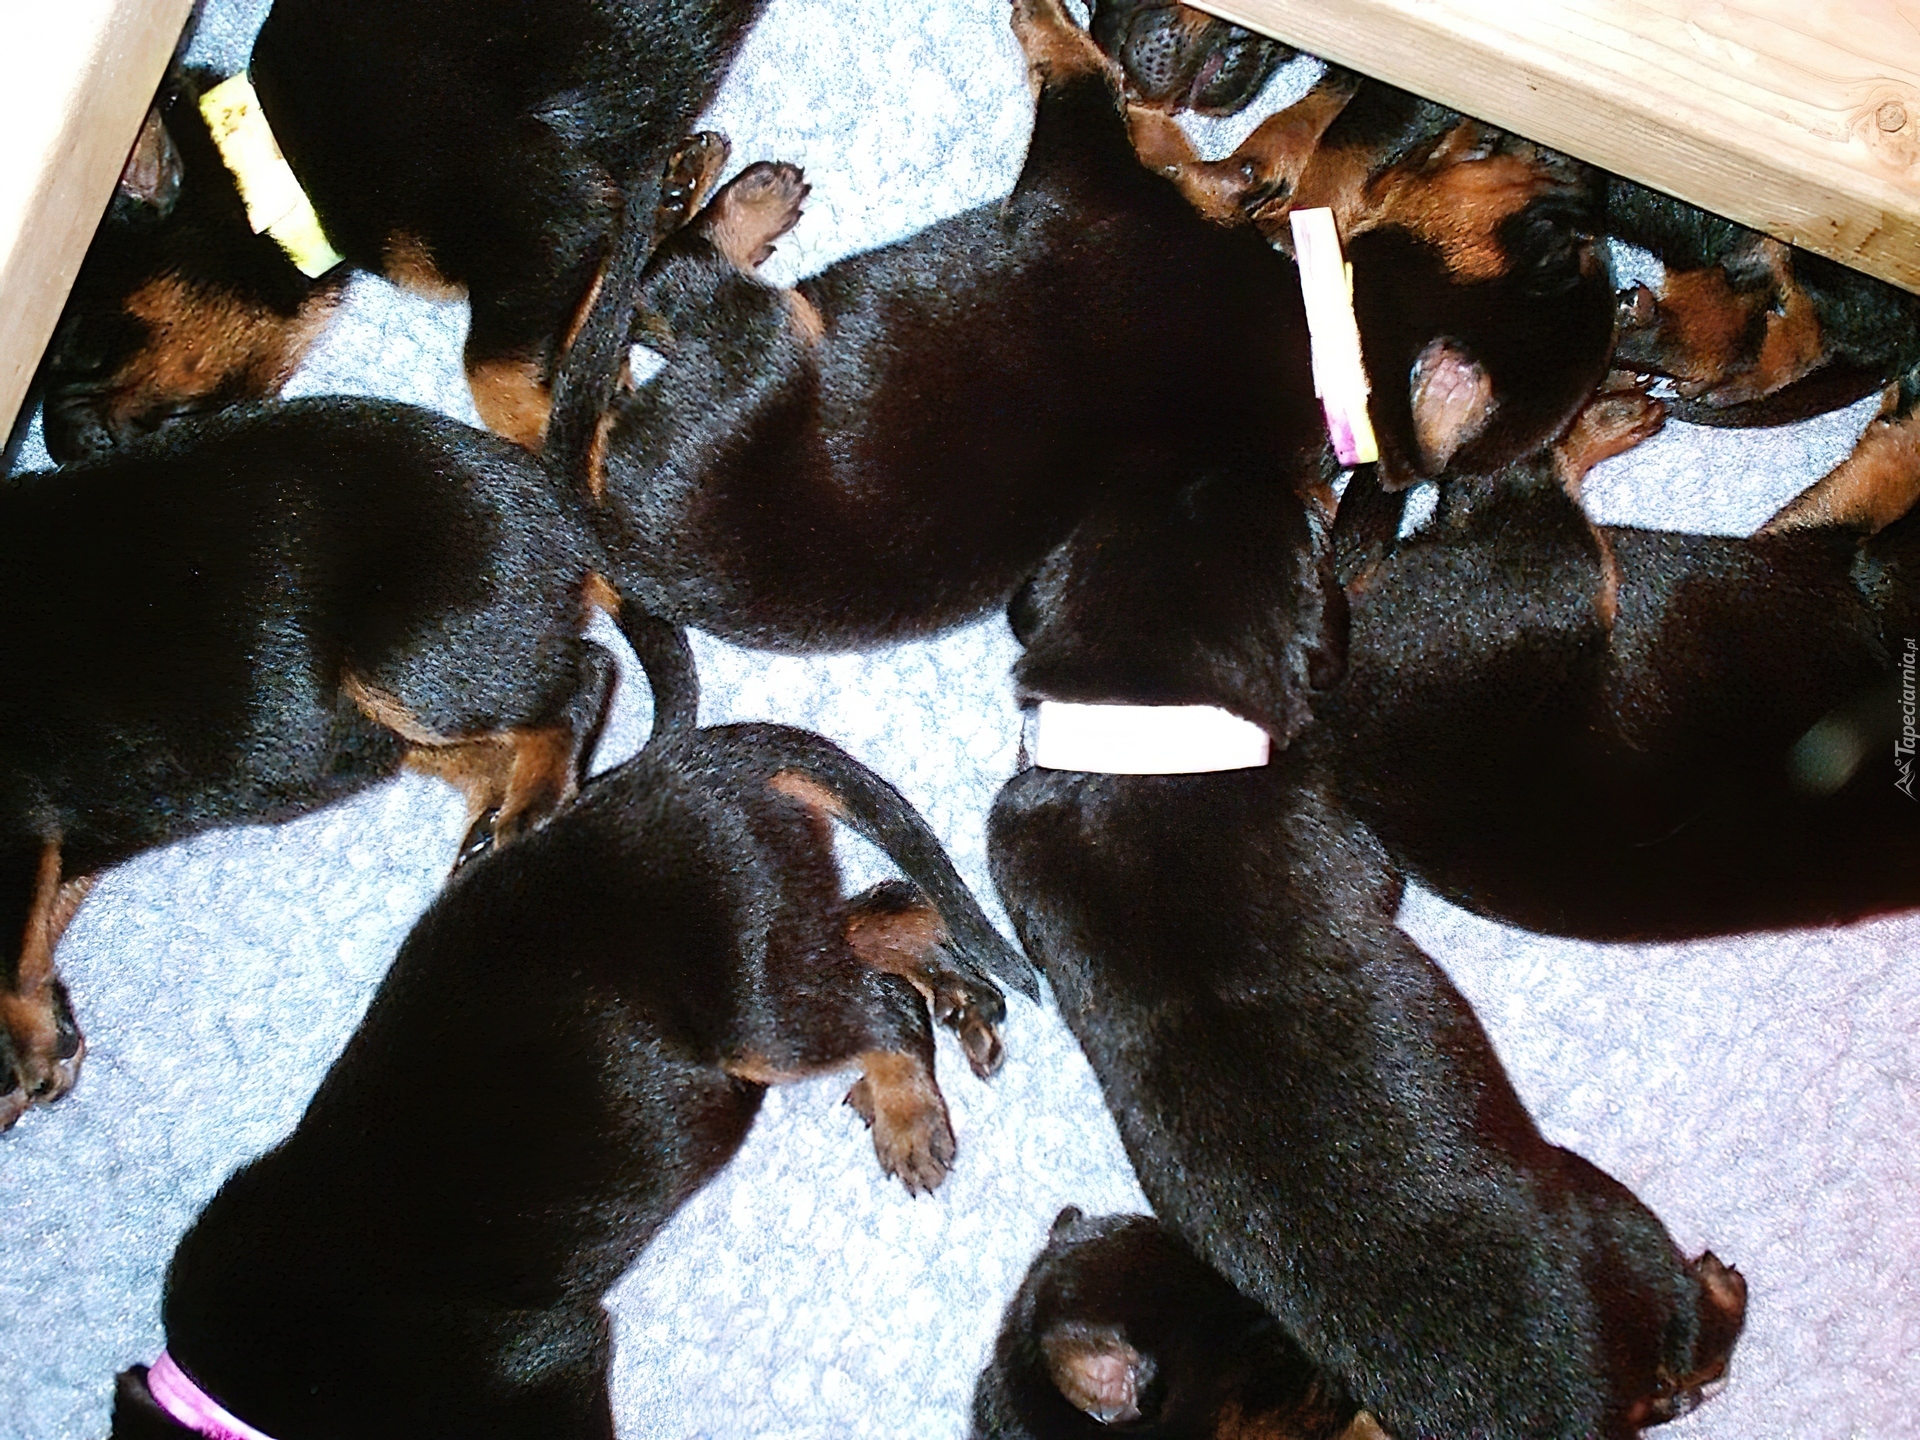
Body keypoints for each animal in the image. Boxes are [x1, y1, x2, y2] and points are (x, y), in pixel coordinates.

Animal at [0, 397, 624, 1130]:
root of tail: (548, 498)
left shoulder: (17, 824)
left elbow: (6, 961)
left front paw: (28, 1057)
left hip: (409, 663)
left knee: (583, 678)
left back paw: (531, 805)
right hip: (403, 707)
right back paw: (491, 823)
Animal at [106, 616, 1027, 1438]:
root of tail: (692, 764)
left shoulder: (544, 1363)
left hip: (754, 1005)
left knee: (882, 1005)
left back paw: (911, 1113)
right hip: (780, 939)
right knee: (888, 916)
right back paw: (954, 995)